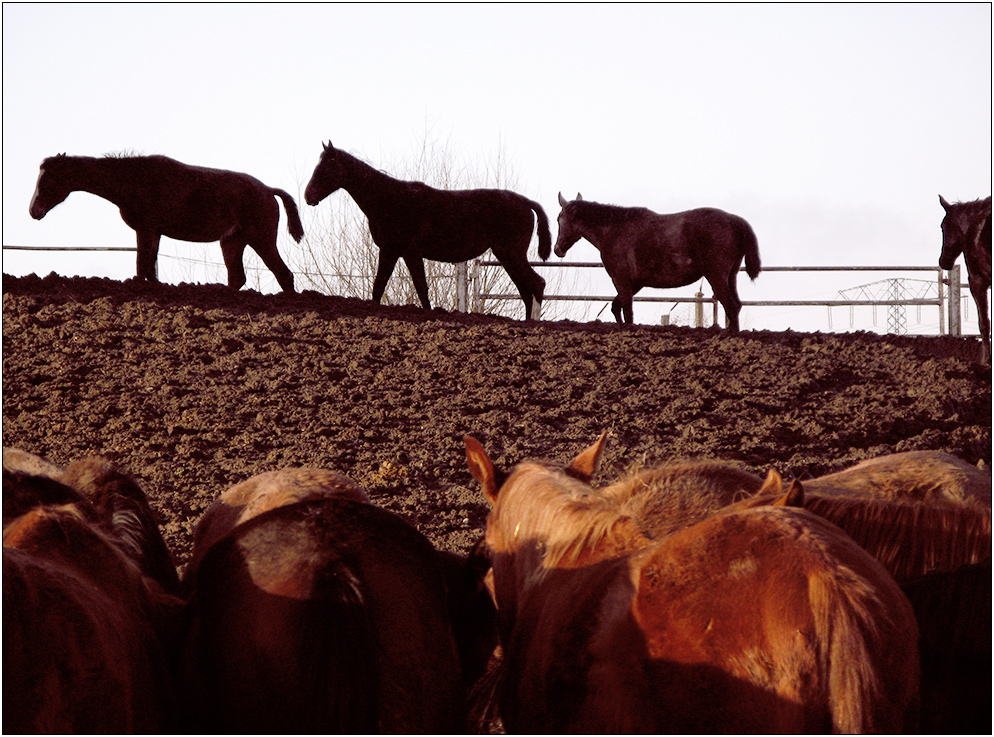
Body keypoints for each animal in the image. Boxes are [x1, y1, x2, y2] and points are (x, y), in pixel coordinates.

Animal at [30, 152, 302, 290]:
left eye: (48, 180)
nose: (34, 211)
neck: (134, 179)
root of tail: (268, 190)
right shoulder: (155, 233)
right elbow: (150, 268)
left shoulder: (145, 230)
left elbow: (142, 266)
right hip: (233, 243)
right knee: (238, 278)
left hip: (262, 241)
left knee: (284, 275)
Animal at [302, 141, 552, 320]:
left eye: (326, 168)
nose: (308, 196)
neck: (390, 200)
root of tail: (526, 202)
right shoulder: (390, 251)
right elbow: (378, 287)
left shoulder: (410, 253)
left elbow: (421, 289)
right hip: (507, 256)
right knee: (526, 289)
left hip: (510, 254)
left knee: (536, 285)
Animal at [552, 193, 760, 328]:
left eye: (559, 218)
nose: (557, 249)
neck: (614, 231)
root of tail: (735, 221)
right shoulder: (635, 284)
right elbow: (616, 307)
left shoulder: (621, 280)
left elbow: (627, 312)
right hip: (730, 276)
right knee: (736, 306)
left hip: (716, 276)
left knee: (731, 306)